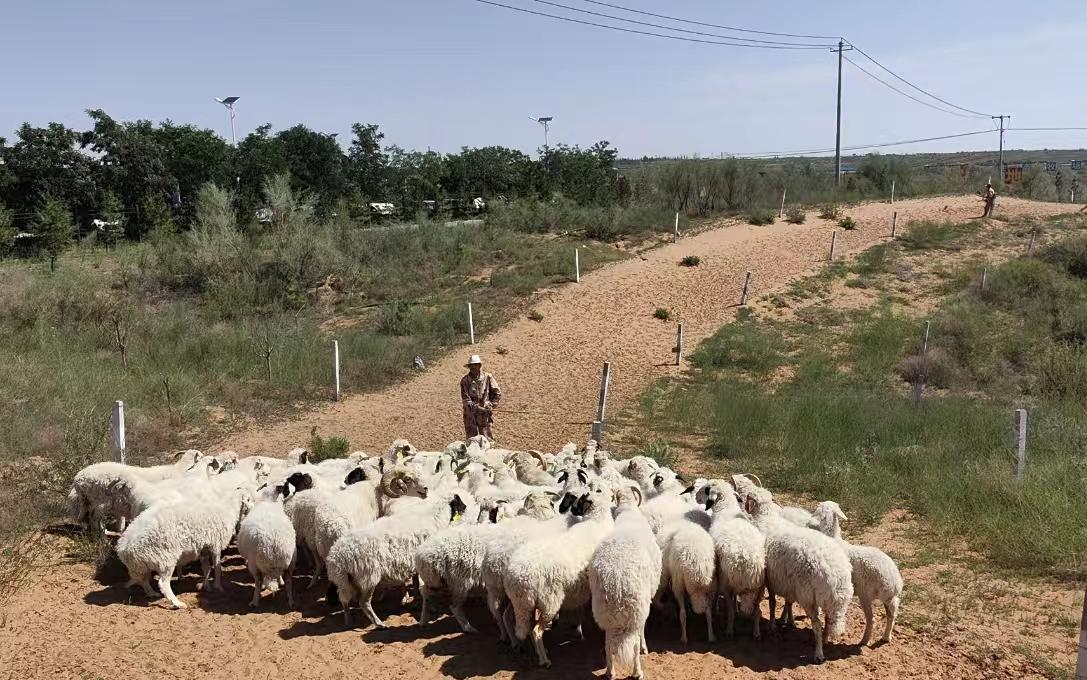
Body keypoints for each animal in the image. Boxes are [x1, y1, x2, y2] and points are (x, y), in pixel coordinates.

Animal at [591, 484, 656, 677]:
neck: (627, 511)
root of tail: (616, 581)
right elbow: (642, 632)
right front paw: (644, 647)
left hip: (604, 615)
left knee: (608, 645)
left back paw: (610, 672)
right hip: (636, 612)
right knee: (633, 647)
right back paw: (637, 672)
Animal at [813, 497, 904, 638]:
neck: (834, 537)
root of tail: (895, 584)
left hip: (865, 593)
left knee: (871, 619)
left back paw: (865, 639)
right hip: (888, 598)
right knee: (892, 613)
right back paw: (886, 637)